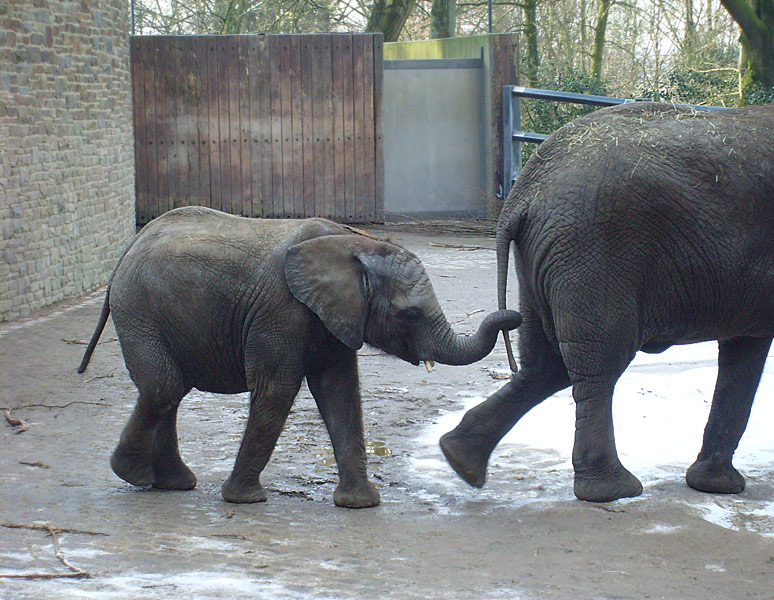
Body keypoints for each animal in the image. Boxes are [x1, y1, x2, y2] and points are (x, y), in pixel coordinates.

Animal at [79, 209, 520, 508]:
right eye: (409, 314)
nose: (515, 316)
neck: (355, 244)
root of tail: (130, 246)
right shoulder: (282, 308)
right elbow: (277, 389)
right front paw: (245, 499)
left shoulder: (335, 315)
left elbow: (340, 391)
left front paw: (360, 504)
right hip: (139, 309)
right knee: (164, 386)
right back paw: (135, 475)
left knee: (170, 389)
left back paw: (172, 483)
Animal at [442, 102, 774, 502]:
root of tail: (522, 195)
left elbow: (745, 347)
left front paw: (714, 485)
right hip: (594, 251)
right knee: (598, 359)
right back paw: (611, 490)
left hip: (543, 259)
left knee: (545, 364)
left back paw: (460, 459)